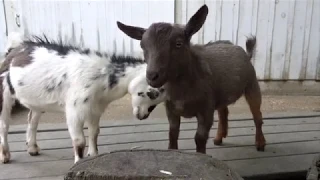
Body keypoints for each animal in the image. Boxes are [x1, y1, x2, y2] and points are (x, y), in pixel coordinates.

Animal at [116, 4, 266, 153]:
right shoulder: (171, 110)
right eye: (142, 46)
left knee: (257, 115)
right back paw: (219, 138)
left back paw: (260, 143)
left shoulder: (206, 111)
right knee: (224, 112)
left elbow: (199, 138)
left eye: (178, 43)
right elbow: (172, 134)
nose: (152, 76)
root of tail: (245, 53)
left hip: (252, 85)